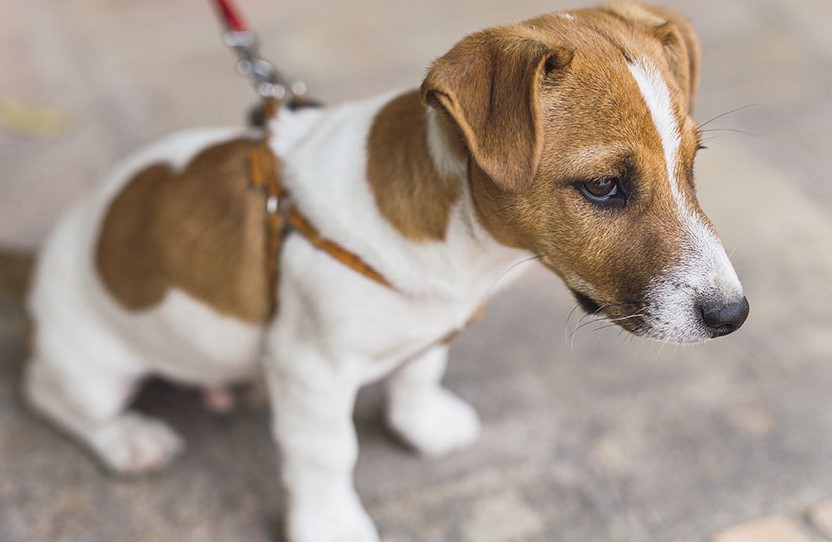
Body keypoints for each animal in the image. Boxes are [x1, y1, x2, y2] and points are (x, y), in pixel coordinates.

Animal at [21, 2, 748, 540]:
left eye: (692, 165)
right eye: (602, 187)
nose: (733, 316)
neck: (465, 243)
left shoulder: (427, 325)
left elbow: (421, 368)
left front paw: (424, 423)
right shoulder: (312, 370)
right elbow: (327, 453)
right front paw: (330, 524)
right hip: (94, 366)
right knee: (52, 396)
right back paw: (128, 438)